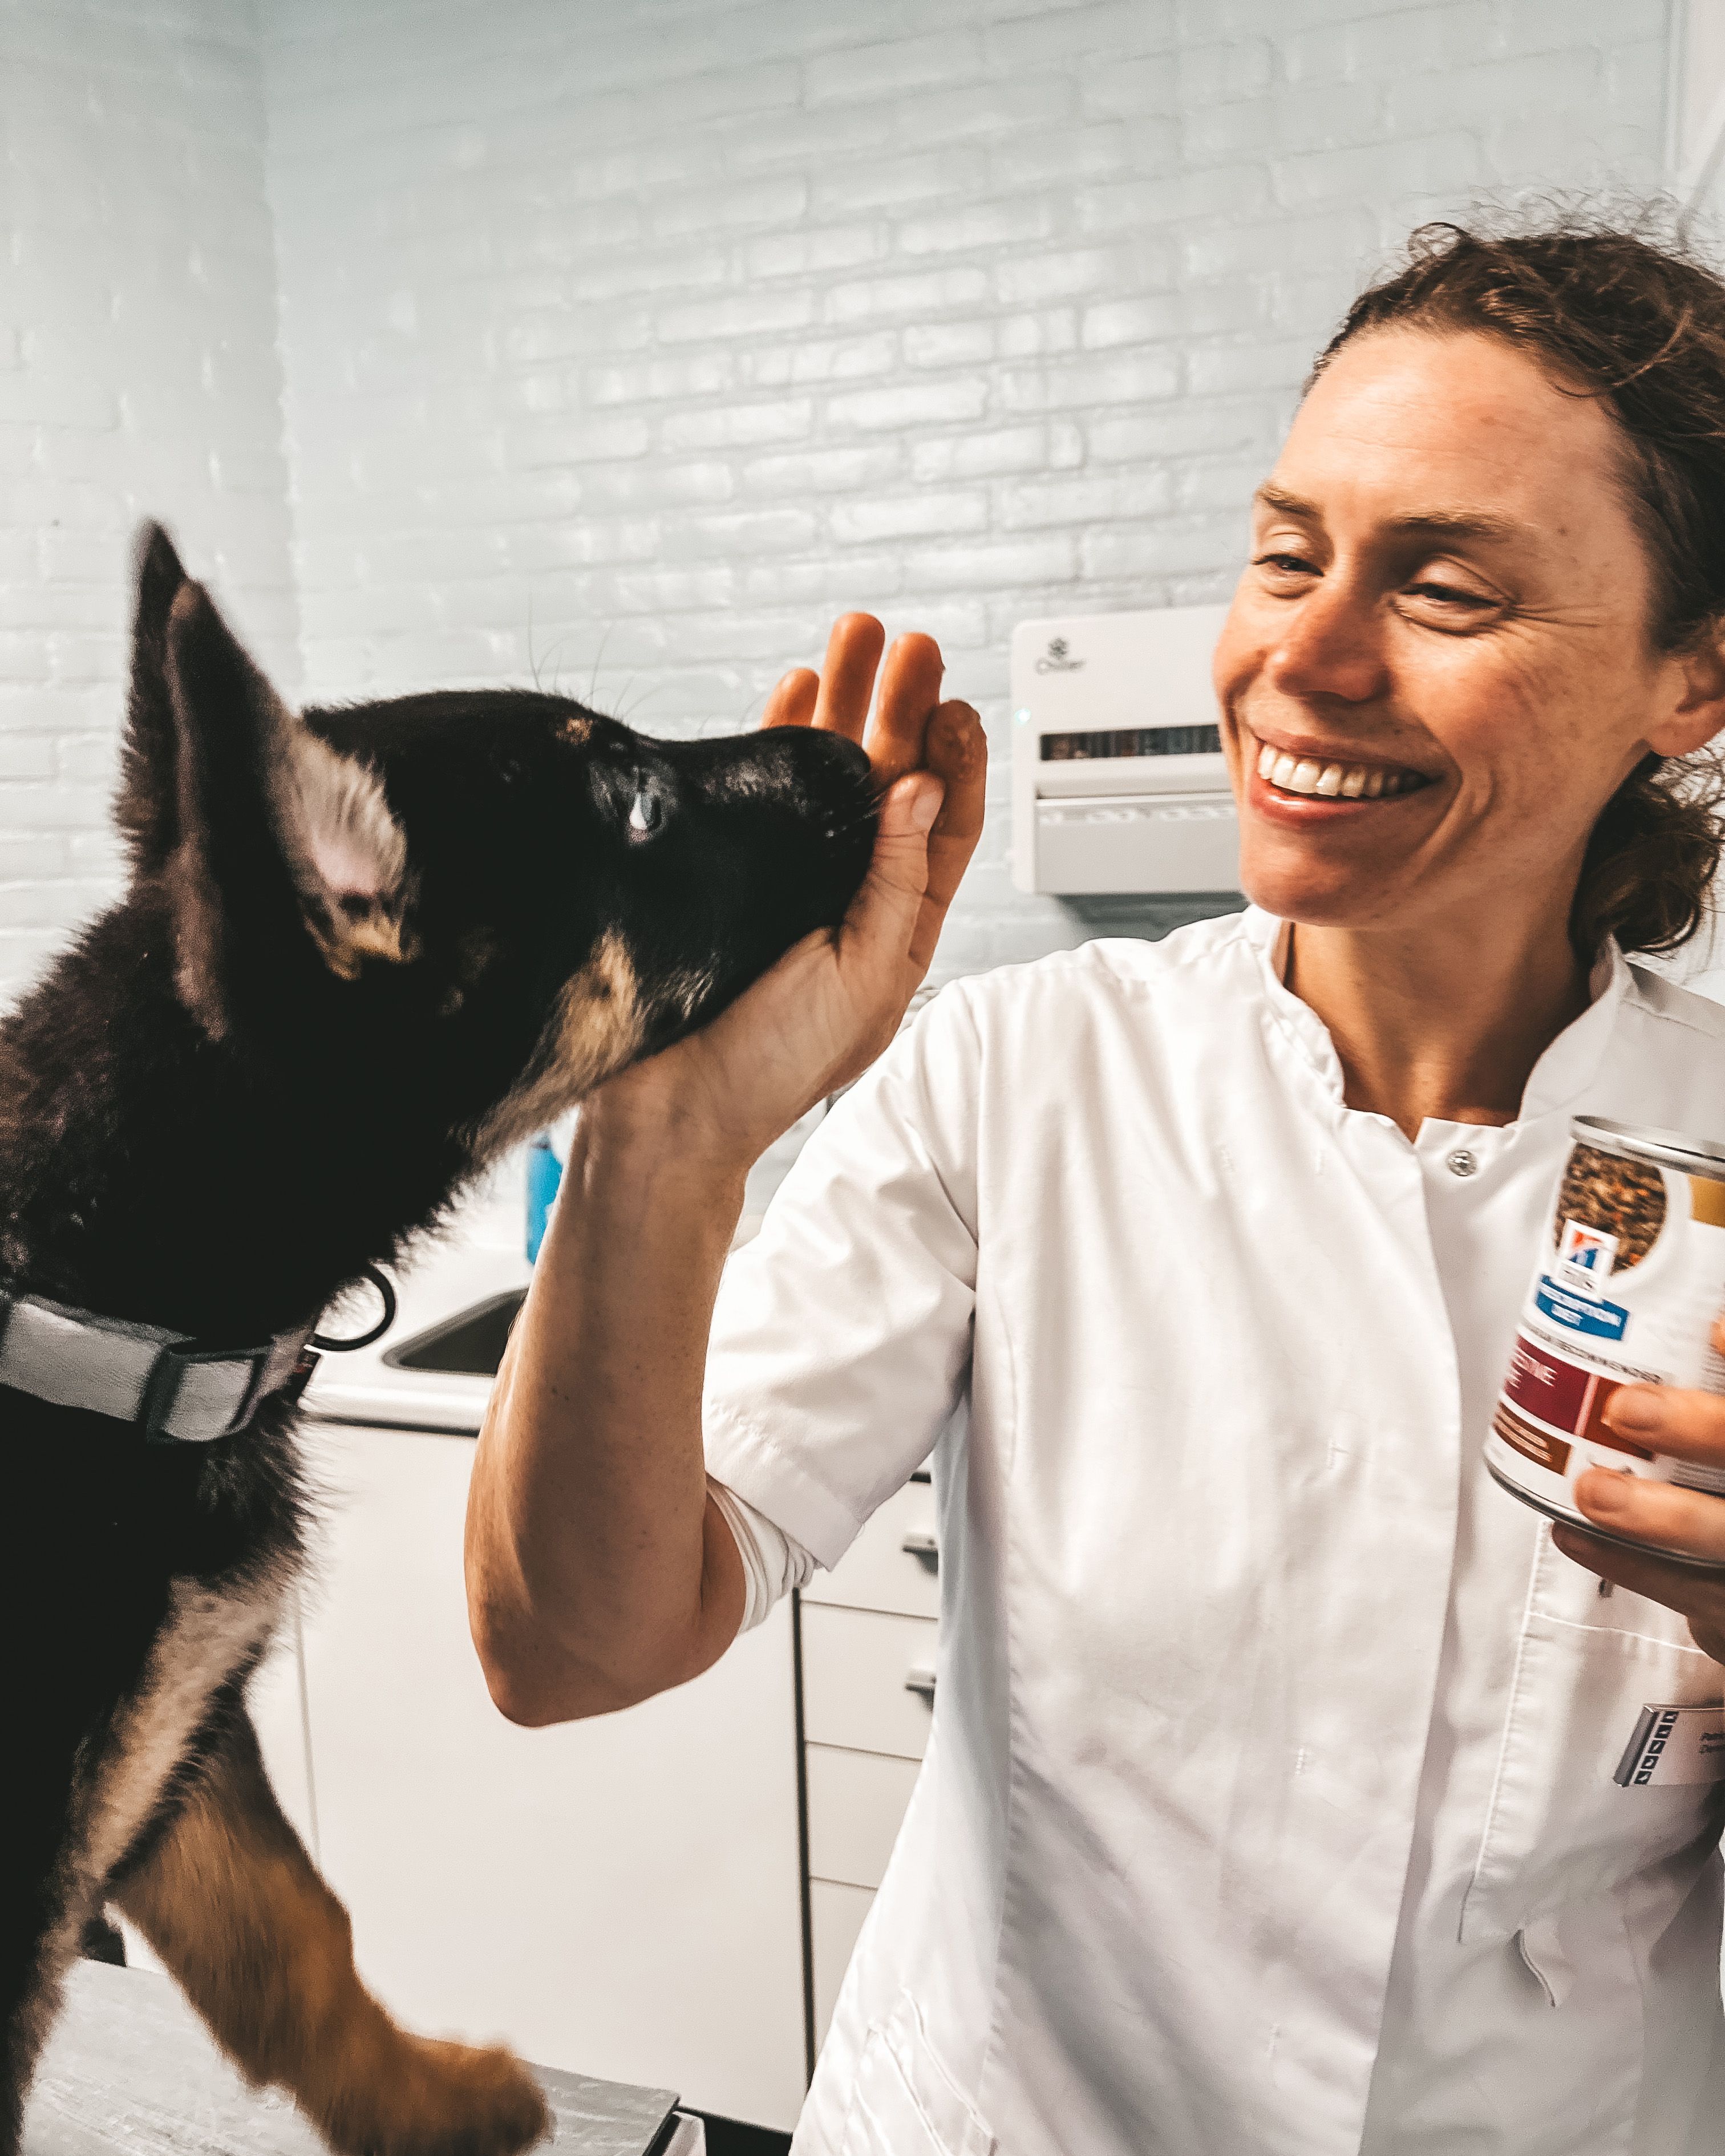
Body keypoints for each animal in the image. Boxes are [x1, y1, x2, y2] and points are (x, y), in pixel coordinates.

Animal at [1, 525, 877, 2155]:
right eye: (634, 803)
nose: (850, 749)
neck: (108, 1310)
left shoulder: (181, 1744)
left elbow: (294, 1934)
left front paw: (435, 2109)